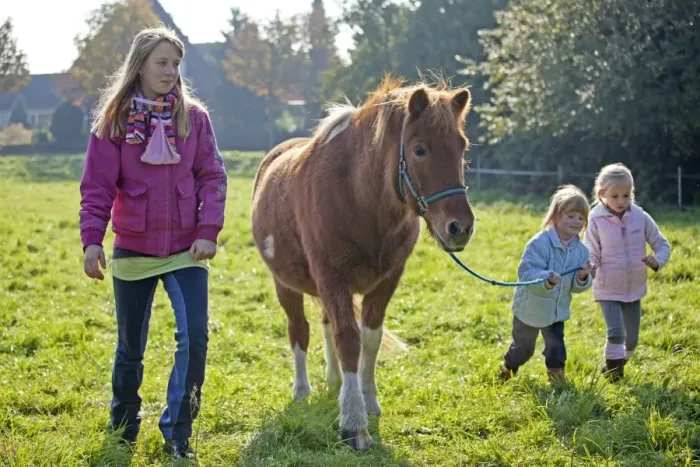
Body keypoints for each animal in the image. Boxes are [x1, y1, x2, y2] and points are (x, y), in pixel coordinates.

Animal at [251, 75, 476, 450]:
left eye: (462, 147)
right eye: (419, 149)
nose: (460, 227)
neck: (359, 198)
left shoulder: (387, 280)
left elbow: (369, 338)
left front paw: (367, 400)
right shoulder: (332, 279)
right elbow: (348, 339)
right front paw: (354, 423)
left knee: (325, 325)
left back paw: (335, 382)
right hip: (285, 284)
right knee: (299, 330)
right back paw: (302, 391)